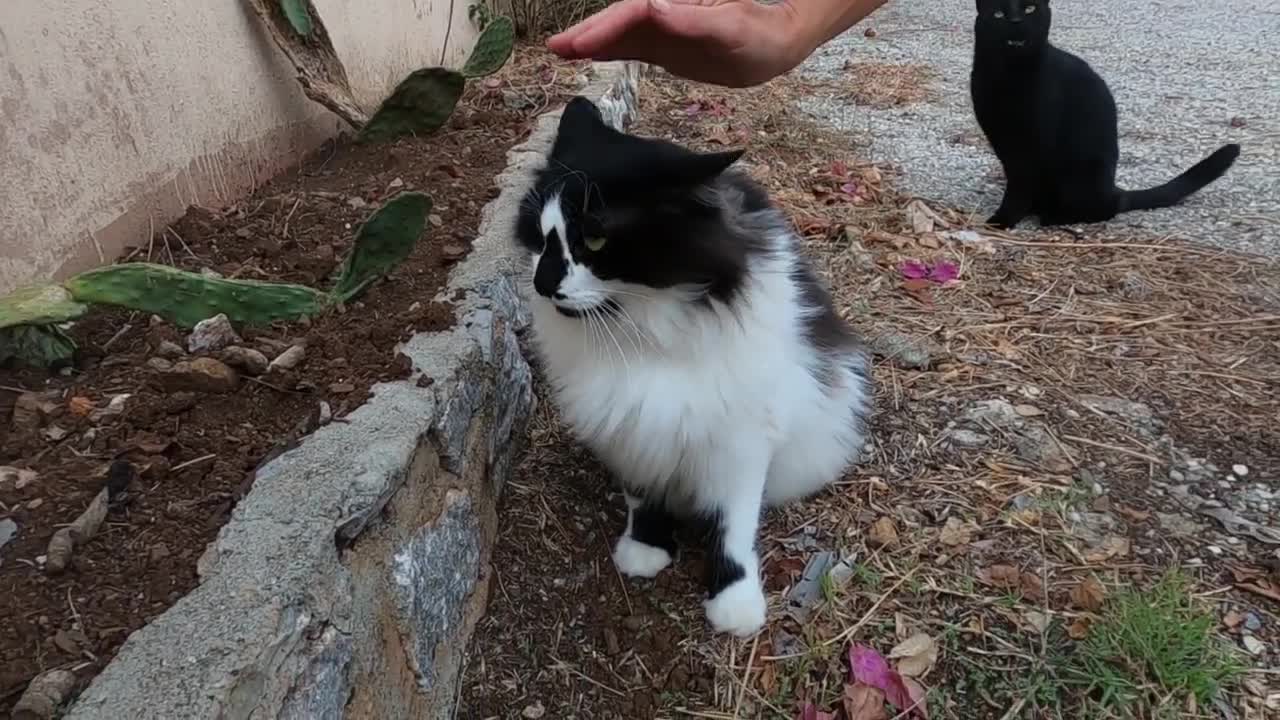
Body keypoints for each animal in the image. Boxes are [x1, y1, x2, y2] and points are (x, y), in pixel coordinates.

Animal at [512, 98, 870, 635]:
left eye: (595, 241)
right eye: (541, 235)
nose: (542, 282)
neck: (646, 333)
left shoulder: (740, 441)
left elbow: (733, 526)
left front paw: (734, 601)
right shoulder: (633, 425)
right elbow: (644, 495)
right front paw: (646, 549)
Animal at [967, 0, 1239, 228]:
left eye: (1029, 9)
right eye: (998, 13)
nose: (1015, 21)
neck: (1006, 75)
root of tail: (1114, 190)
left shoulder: (1033, 144)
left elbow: (1019, 186)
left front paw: (1003, 219)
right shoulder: (1003, 141)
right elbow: (1016, 180)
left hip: (1080, 173)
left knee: (1105, 209)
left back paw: (1055, 216)